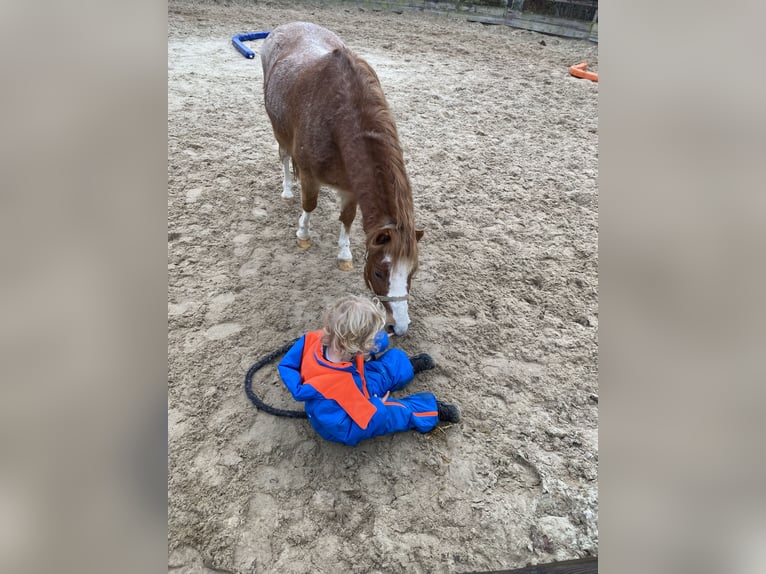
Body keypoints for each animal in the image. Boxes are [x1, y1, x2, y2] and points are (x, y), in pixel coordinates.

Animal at [260, 22, 423, 336]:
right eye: (379, 272)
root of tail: (286, 26)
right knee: (284, 158)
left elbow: (347, 219)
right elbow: (309, 204)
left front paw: (344, 255)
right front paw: (303, 235)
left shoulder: (351, 187)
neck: (339, 118)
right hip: (279, 130)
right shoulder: (310, 175)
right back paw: (287, 192)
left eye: (412, 271)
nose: (399, 327)